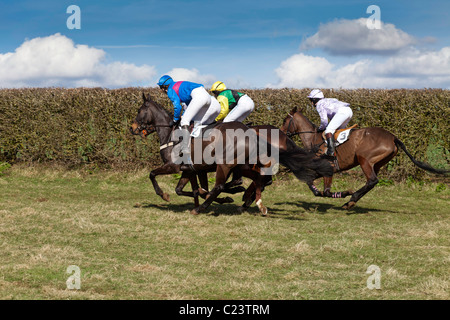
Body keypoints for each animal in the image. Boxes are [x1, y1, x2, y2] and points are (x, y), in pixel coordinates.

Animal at [282, 107, 446, 210]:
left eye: (285, 120)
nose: (281, 133)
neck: (314, 139)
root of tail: (393, 137)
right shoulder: (320, 170)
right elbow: (312, 185)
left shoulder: (328, 168)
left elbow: (326, 191)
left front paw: (344, 193)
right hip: (377, 163)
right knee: (371, 182)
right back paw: (351, 201)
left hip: (364, 160)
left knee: (372, 180)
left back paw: (350, 200)